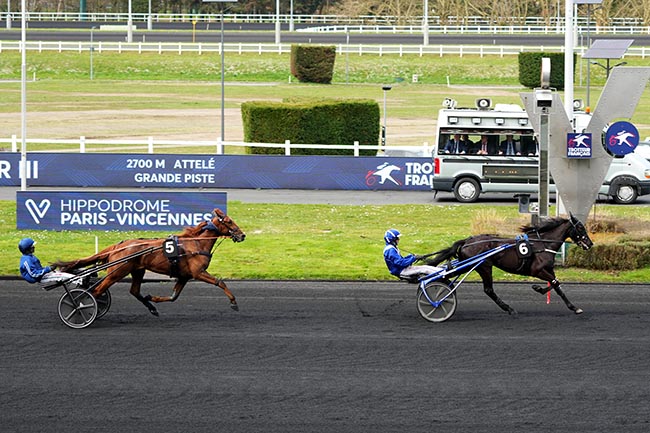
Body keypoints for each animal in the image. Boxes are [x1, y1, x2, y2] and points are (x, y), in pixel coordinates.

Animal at [53, 208, 244, 316]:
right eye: (229, 221)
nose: (242, 235)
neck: (196, 243)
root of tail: (119, 245)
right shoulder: (198, 273)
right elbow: (220, 282)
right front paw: (234, 302)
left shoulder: (185, 276)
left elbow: (173, 297)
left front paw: (153, 298)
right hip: (117, 272)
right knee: (97, 291)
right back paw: (83, 307)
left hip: (137, 270)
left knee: (134, 291)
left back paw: (151, 307)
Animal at [426, 214, 592, 316]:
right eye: (580, 228)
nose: (590, 244)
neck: (543, 244)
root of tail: (467, 241)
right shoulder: (537, 270)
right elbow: (555, 283)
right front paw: (537, 288)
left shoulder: (548, 269)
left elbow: (557, 285)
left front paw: (573, 307)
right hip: (483, 266)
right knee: (488, 290)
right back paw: (509, 308)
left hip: (473, 265)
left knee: (449, 275)